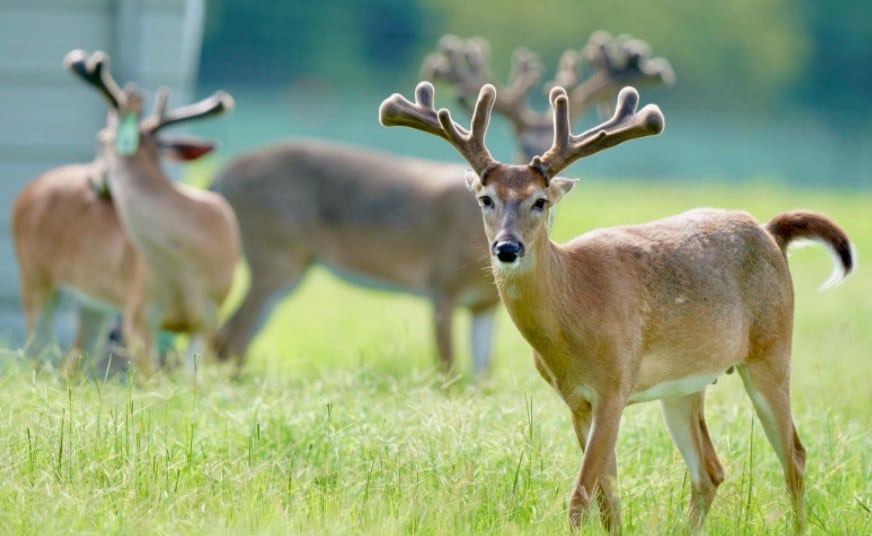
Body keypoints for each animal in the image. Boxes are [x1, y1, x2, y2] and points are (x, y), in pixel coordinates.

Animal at [16, 49, 241, 379]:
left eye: (99, 139)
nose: (92, 182)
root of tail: (31, 187)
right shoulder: (138, 312)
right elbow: (154, 381)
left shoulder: (211, 316)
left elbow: (194, 383)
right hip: (33, 273)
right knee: (35, 349)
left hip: (90, 299)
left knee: (74, 356)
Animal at [211, 32, 674, 376]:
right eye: (486, 197)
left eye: (540, 200)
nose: (507, 247)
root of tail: (219, 180)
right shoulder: (440, 284)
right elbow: (447, 367)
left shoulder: (484, 305)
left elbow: (482, 374)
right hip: (274, 253)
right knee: (229, 337)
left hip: (288, 265)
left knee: (233, 336)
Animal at [378, 81, 853, 532]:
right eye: (485, 198)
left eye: (539, 201)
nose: (507, 248)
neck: (575, 307)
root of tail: (771, 231)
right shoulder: (576, 400)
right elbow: (609, 500)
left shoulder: (615, 385)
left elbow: (580, 497)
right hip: (685, 386)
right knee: (710, 470)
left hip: (771, 349)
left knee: (794, 455)